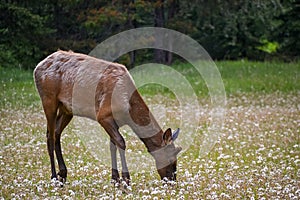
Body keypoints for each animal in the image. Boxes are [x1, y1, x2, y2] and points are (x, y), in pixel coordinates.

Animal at [34, 50, 182, 185]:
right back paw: (54, 176)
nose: (171, 181)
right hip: (48, 99)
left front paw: (115, 179)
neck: (128, 109)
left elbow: (113, 145)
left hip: (66, 109)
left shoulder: (115, 122)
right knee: (50, 136)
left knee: (56, 132)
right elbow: (121, 142)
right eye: (171, 160)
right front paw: (125, 179)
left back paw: (63, 174)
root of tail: (37, 67)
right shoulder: (103, 115)